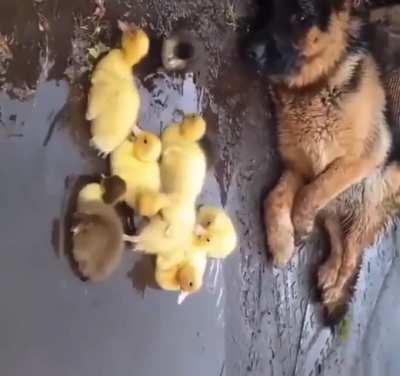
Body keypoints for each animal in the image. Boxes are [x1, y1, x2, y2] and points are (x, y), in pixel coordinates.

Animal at [244, 0, 400, 320]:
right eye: (266, 9)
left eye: (301, 16)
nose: (249, 51)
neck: (317, 85)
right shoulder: (298, 168)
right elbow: (275, 197)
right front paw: (282, 241)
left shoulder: (362, 159)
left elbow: (311, 192)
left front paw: (300, 223)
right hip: (340, 204)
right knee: (339, 239)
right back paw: (328, 273)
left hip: (370, 199)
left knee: (352, 255)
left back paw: (335, 288)